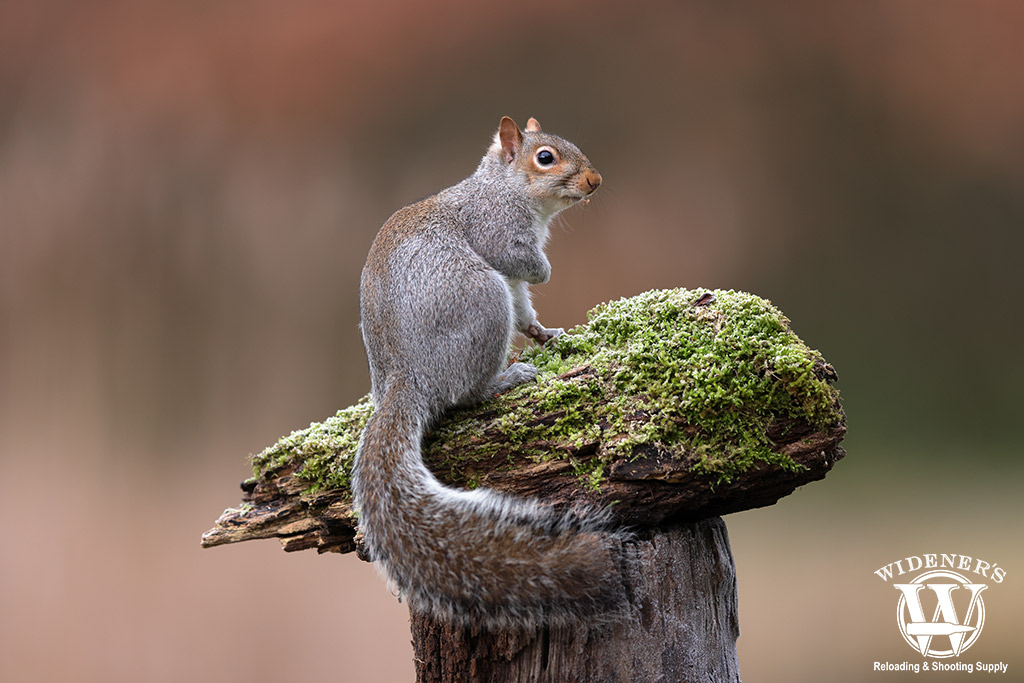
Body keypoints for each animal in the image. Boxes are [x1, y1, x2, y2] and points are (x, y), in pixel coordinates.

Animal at [353, 116, 627, 627]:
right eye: (545, 158)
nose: (595, 180)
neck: (503, 187)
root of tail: (405, 379)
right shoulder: (498, 232)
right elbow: (522, 262)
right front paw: (547, 275)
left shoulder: (515, 287)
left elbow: (526, 311)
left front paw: (546, 333)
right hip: (482, 299)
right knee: (467, 394)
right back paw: (506, 378)